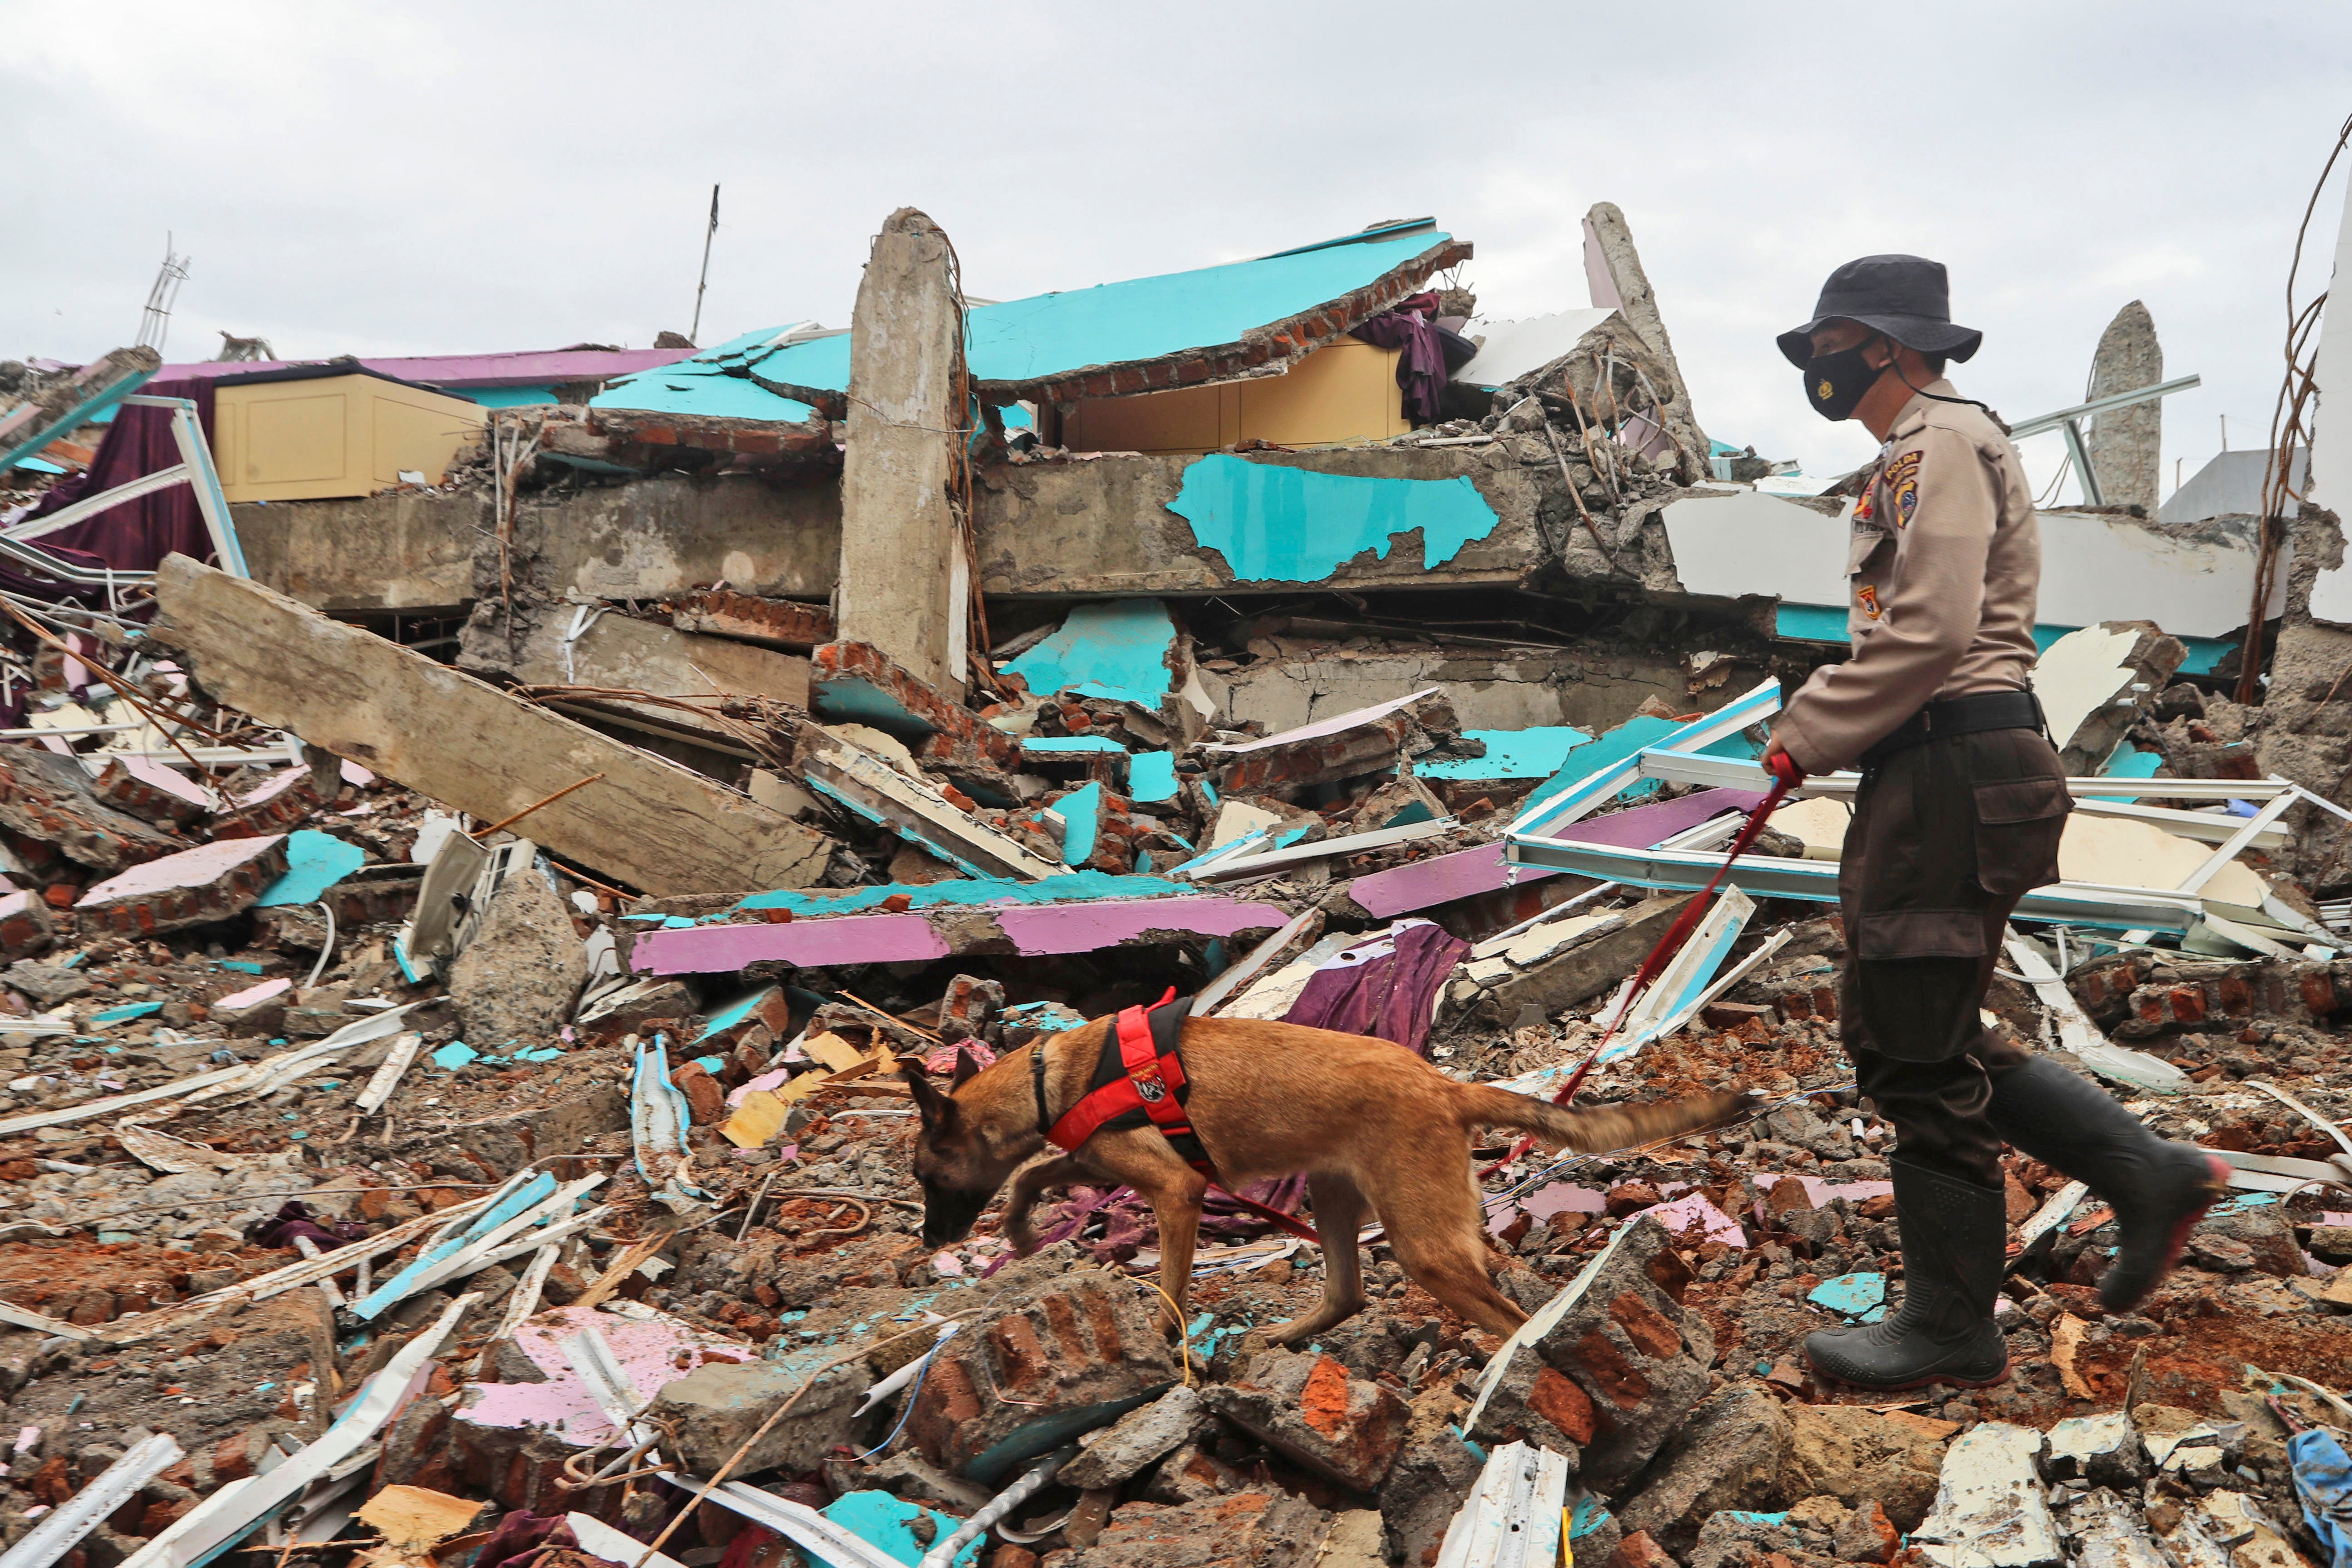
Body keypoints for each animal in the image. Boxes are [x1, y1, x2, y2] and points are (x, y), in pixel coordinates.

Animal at [898, 1025, 1750, 1344]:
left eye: (925, 1176)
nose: (930, 1241)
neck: (1052, 1077)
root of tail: (1445, 1086)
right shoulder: (1100, 1156)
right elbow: (1038, 1170)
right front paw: (1018, 1225)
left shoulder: (1174, 1191)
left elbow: (1170, 1286)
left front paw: (1168, 1343)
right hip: (1331, 1192)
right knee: (1347, 1292)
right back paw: (1286, 1334)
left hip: (1420, 1240)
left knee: (1510, 1319)